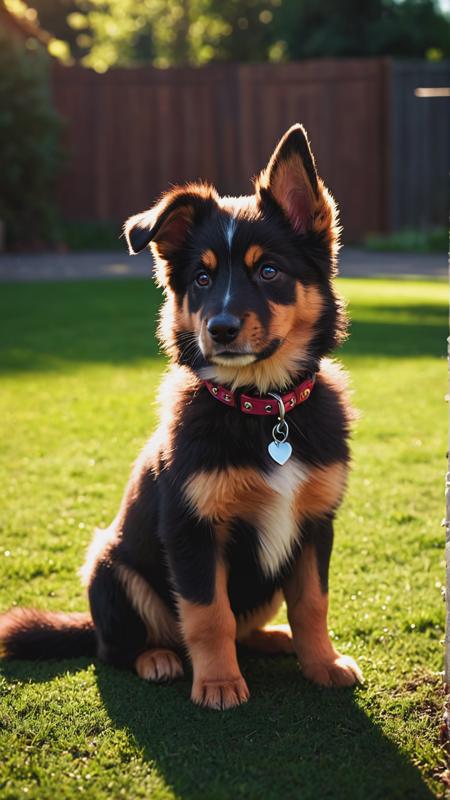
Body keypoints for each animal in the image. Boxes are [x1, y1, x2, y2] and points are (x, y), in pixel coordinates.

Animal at [0, 123, 362, 708]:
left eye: (269, 271)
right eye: (201, 279)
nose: (220, 329)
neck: (262, 407)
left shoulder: (315, 523)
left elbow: (312, 603)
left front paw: (323, 663)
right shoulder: (191, 529)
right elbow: (208, 613)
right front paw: (217, 682)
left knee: (249, 623)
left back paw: (272, 638)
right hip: (110, 566)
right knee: (116, 649)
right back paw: (158, 659)